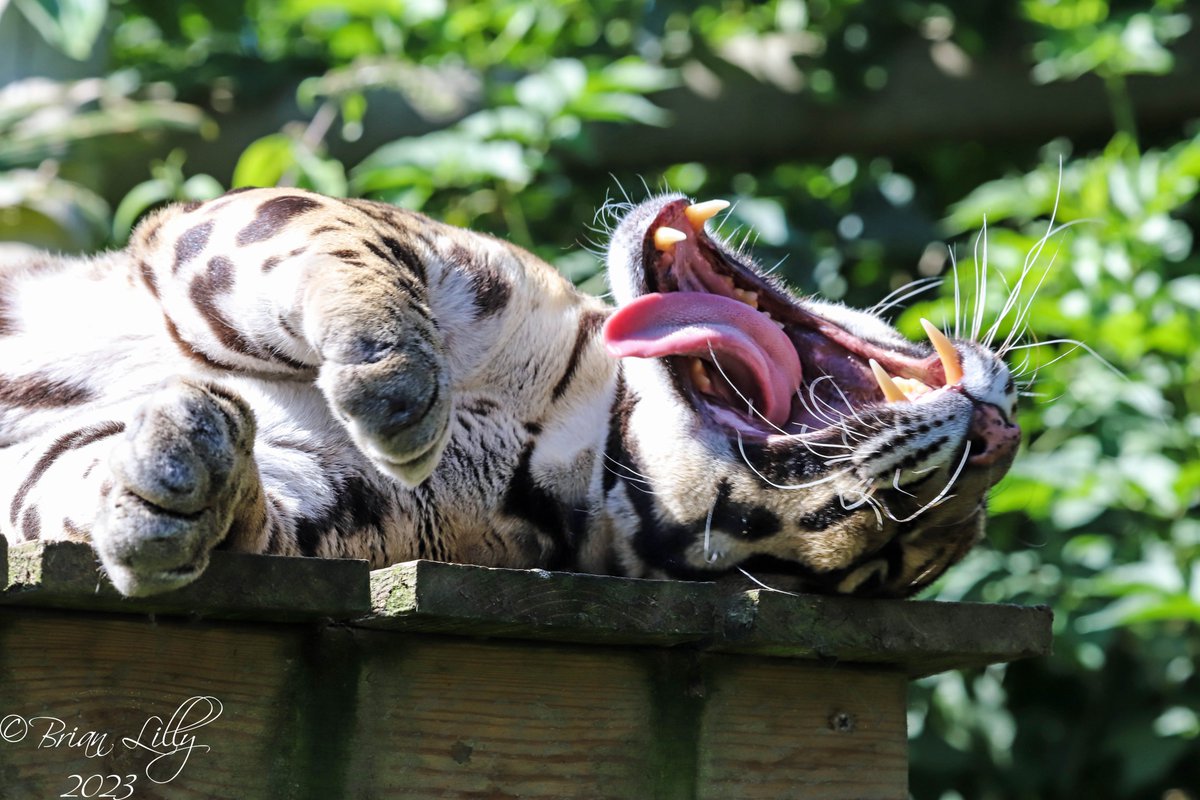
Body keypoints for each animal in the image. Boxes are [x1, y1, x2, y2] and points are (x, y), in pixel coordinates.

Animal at [0, 188, 1020, 598]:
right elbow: (336, 242)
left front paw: (174, 496)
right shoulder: (231, 226)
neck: (572, 430)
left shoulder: (326, 512)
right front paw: (395, 375)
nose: (998, 441)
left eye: (882, 545)